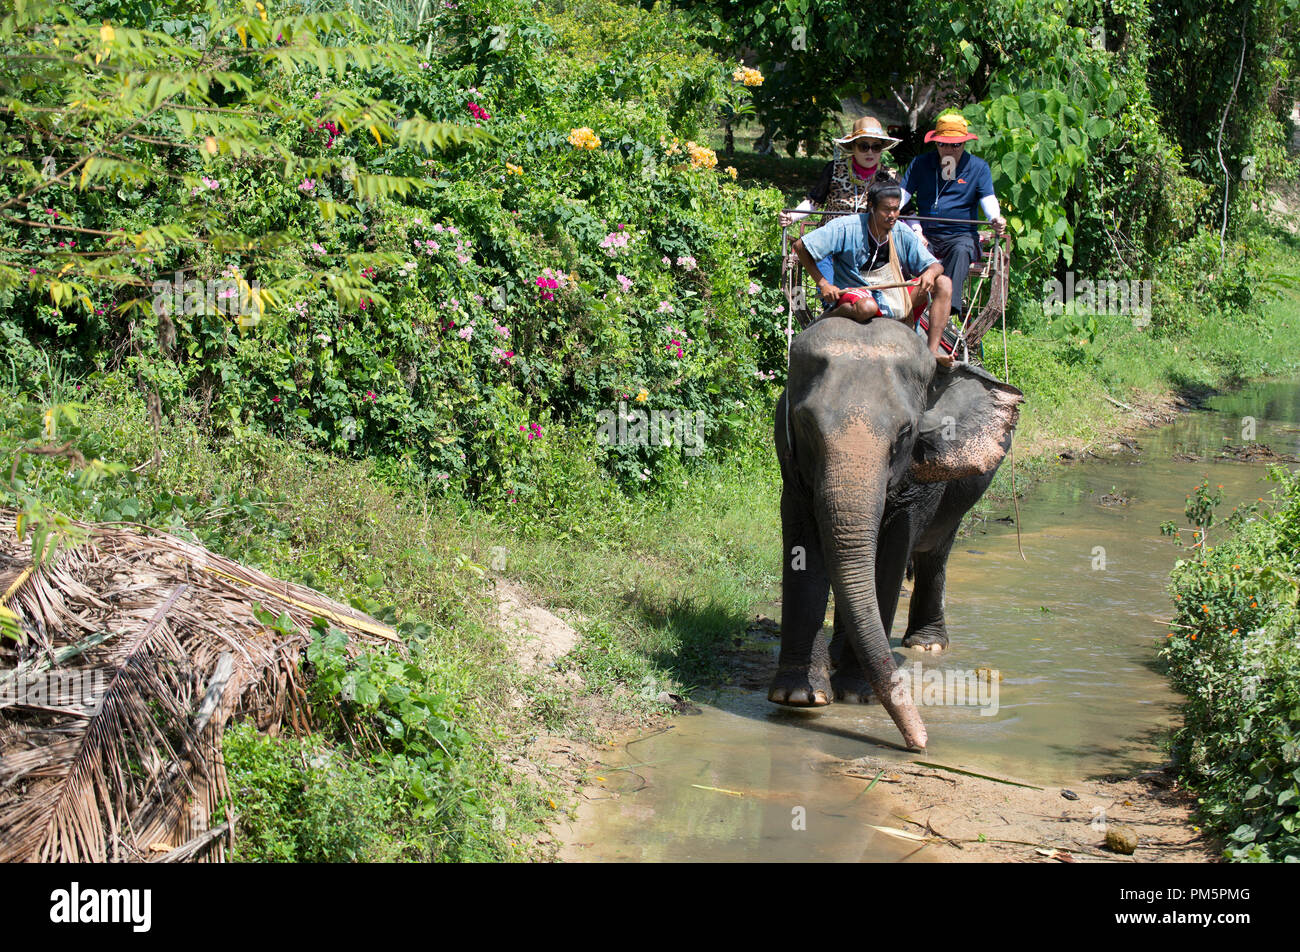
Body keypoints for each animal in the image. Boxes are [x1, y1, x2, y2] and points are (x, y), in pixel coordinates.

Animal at [764, 314, 1019, 749]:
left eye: (905, 432)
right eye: (807, 425)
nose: (920, 742)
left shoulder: (920, 474)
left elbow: (892, 553)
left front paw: (856, 694)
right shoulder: (791, 463)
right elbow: (803, 545)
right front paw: (798, 696)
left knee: (935, 553)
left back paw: (927, 644)